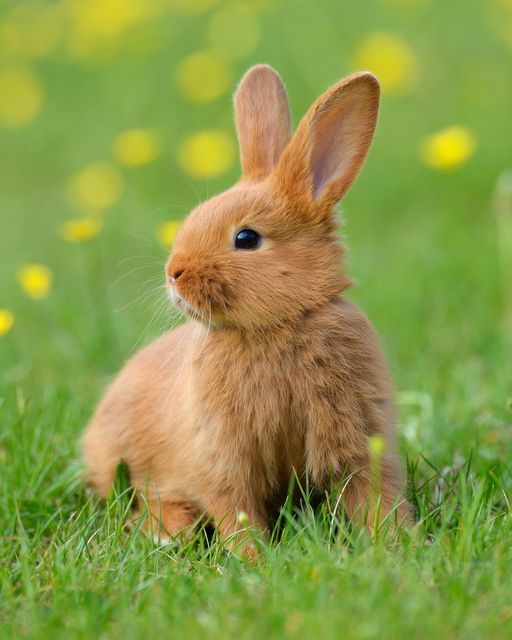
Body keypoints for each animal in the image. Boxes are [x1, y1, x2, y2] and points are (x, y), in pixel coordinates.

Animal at [82, 62, 414, 548]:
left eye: (246, 238)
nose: (174, 273)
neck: (278, 325)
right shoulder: (223, 455)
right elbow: (235, 509)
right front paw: (253, 557)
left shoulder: (356, 437)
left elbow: (373, 494)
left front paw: (399, 543)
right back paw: (172, 532)